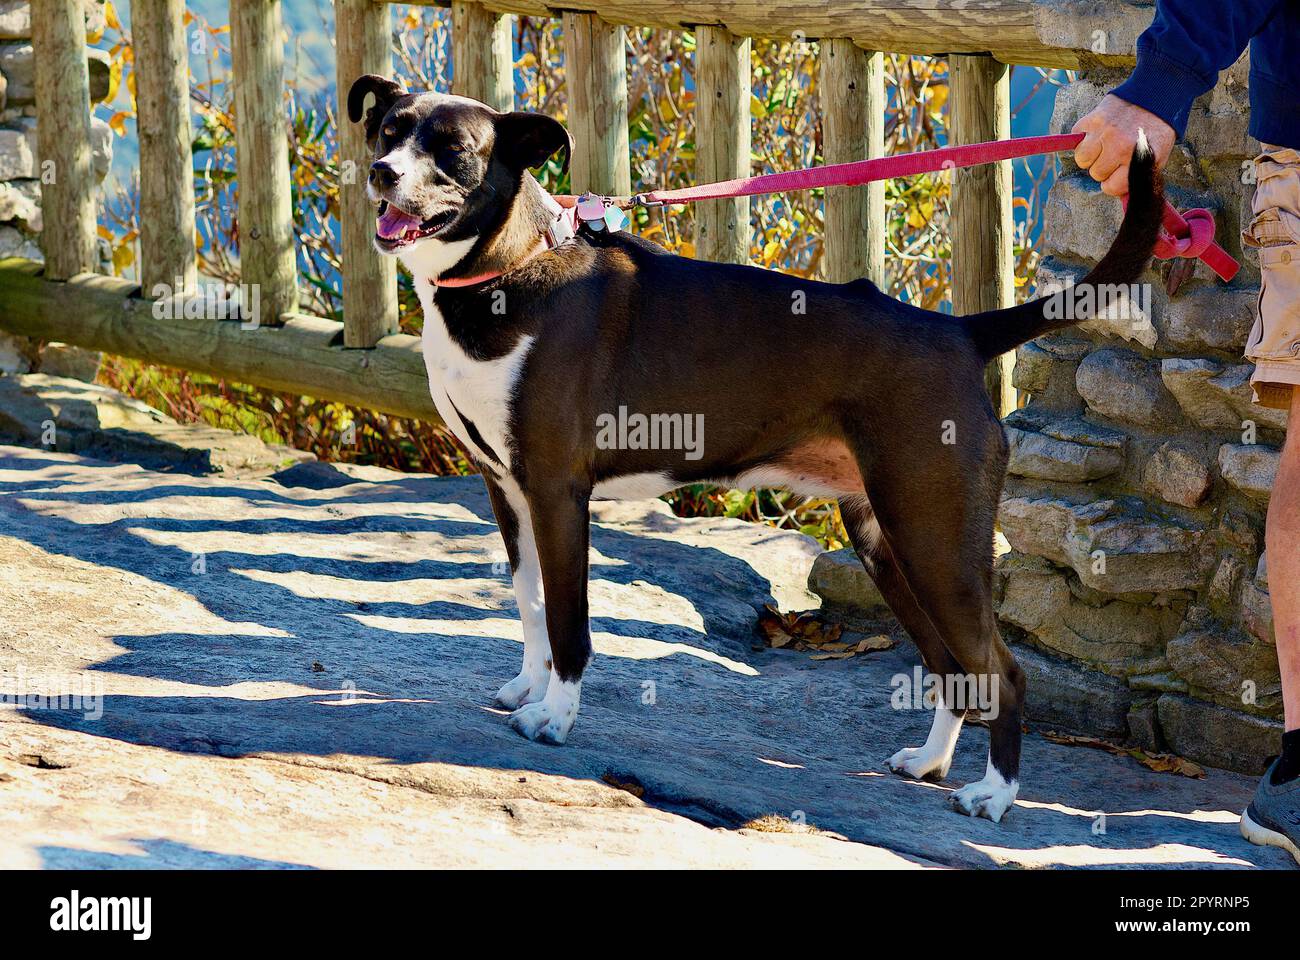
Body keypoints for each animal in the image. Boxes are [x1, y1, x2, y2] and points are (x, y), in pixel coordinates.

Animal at [345, 76, 1159, 822]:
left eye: (452, 152)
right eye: (388, 129)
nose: (382, 172)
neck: (510, 269)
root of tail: (959, 333)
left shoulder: (555, 492)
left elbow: (570, 620)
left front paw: (555, 715)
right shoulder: (505, 490)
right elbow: (530, 601)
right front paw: (529, 684)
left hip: (935, 541)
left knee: (1002, 670)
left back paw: (995, 794)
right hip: (888, 541)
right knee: (949, 664)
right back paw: (930, 763)